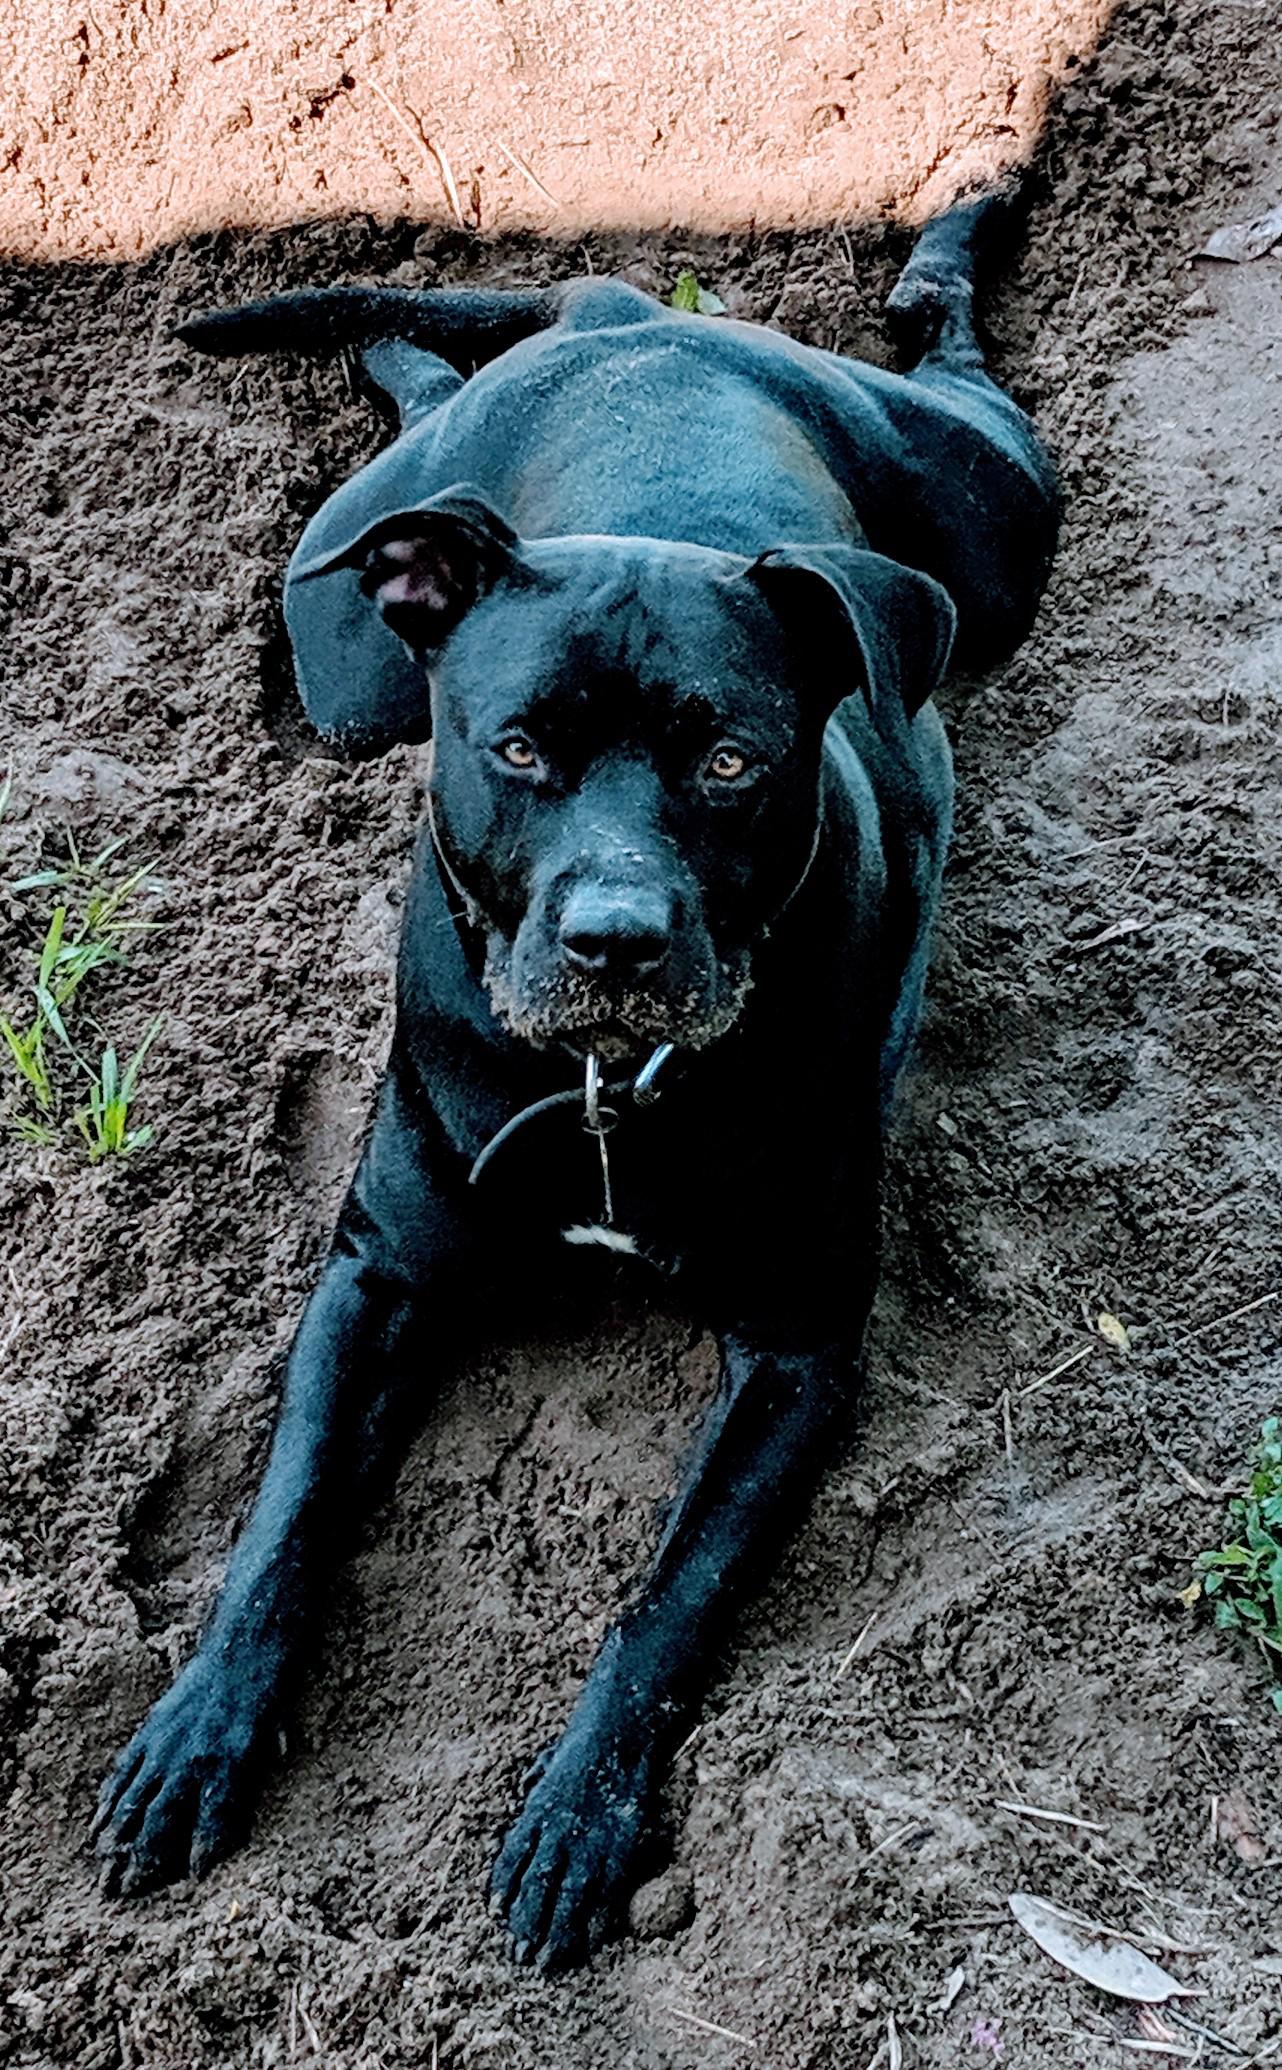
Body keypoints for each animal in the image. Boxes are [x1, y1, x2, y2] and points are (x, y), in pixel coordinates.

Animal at [95, 201, 1060, 1962]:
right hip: (345, 656)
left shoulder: (796, 1351)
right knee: (408, 416)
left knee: (949, 352)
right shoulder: (379, 1271)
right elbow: (285, 1519)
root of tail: (634, 314)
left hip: (993, 518)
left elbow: (663, 1597)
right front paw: (196, 1732)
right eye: (519, 746)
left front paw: (577, 1815)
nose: (616, 938)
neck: (613, 1088)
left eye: (733, 760)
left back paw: (966, 213)